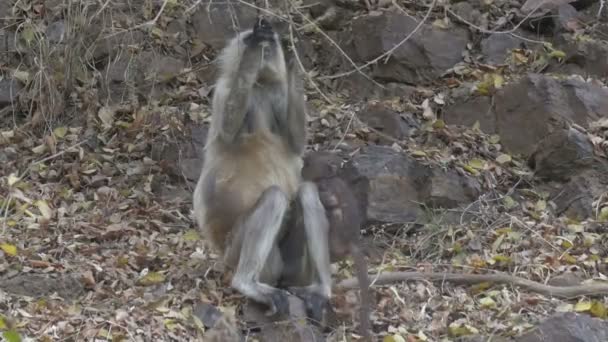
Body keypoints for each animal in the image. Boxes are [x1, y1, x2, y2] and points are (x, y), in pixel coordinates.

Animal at [191, 18, 330, 318]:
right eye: (247, 41)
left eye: (272, 46)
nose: (265, 50)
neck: (258, 86)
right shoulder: (223, 90)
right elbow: (228, 132)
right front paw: (253, 54)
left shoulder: (276, 92)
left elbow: (298, 144)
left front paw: (289, 56)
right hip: (239, 253)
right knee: (275, 197)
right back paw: (247, 284)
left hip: (292, 267)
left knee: (306, 193)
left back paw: (321, 290)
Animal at [300, 152, 370, 340]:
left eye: (308, 164)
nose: (301, 172)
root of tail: (353, 242)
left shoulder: (325, 187)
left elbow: (330, 200)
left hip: (337, 230)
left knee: (334, 213)